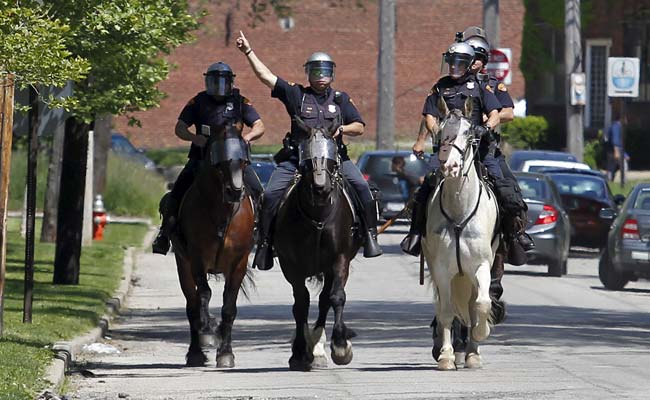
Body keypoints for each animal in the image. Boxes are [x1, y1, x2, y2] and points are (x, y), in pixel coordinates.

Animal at [170, 122, 253, 368]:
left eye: (244, 161)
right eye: (220, 162)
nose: (235, 192)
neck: (222, 212)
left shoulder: (238, 262)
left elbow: (229, 307)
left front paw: (226, 353)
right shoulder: (197, 257)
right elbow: (203, 295)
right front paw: (207, 330)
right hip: (183, 265)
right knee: (192, 305)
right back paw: (196, 351)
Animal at [272, 119, 362, 372]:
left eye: (331, 155)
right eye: (306, 157)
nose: (321, 188)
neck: (318, 215)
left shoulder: (339, 259)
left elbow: (336, 297)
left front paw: (340, 346)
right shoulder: (291, 265)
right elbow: (301, 304)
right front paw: (299, 352)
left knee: (324, 300)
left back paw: (320, 346)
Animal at [422, 101, 498, 372]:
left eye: (468, 132)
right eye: (441, 131)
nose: (450, 166)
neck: (459, 210)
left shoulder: (481, 265)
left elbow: (482, 304)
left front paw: (480, 335)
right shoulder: (442, 269)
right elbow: (446, 311)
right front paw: (446, 356)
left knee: (474, 304)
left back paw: (473, 351)